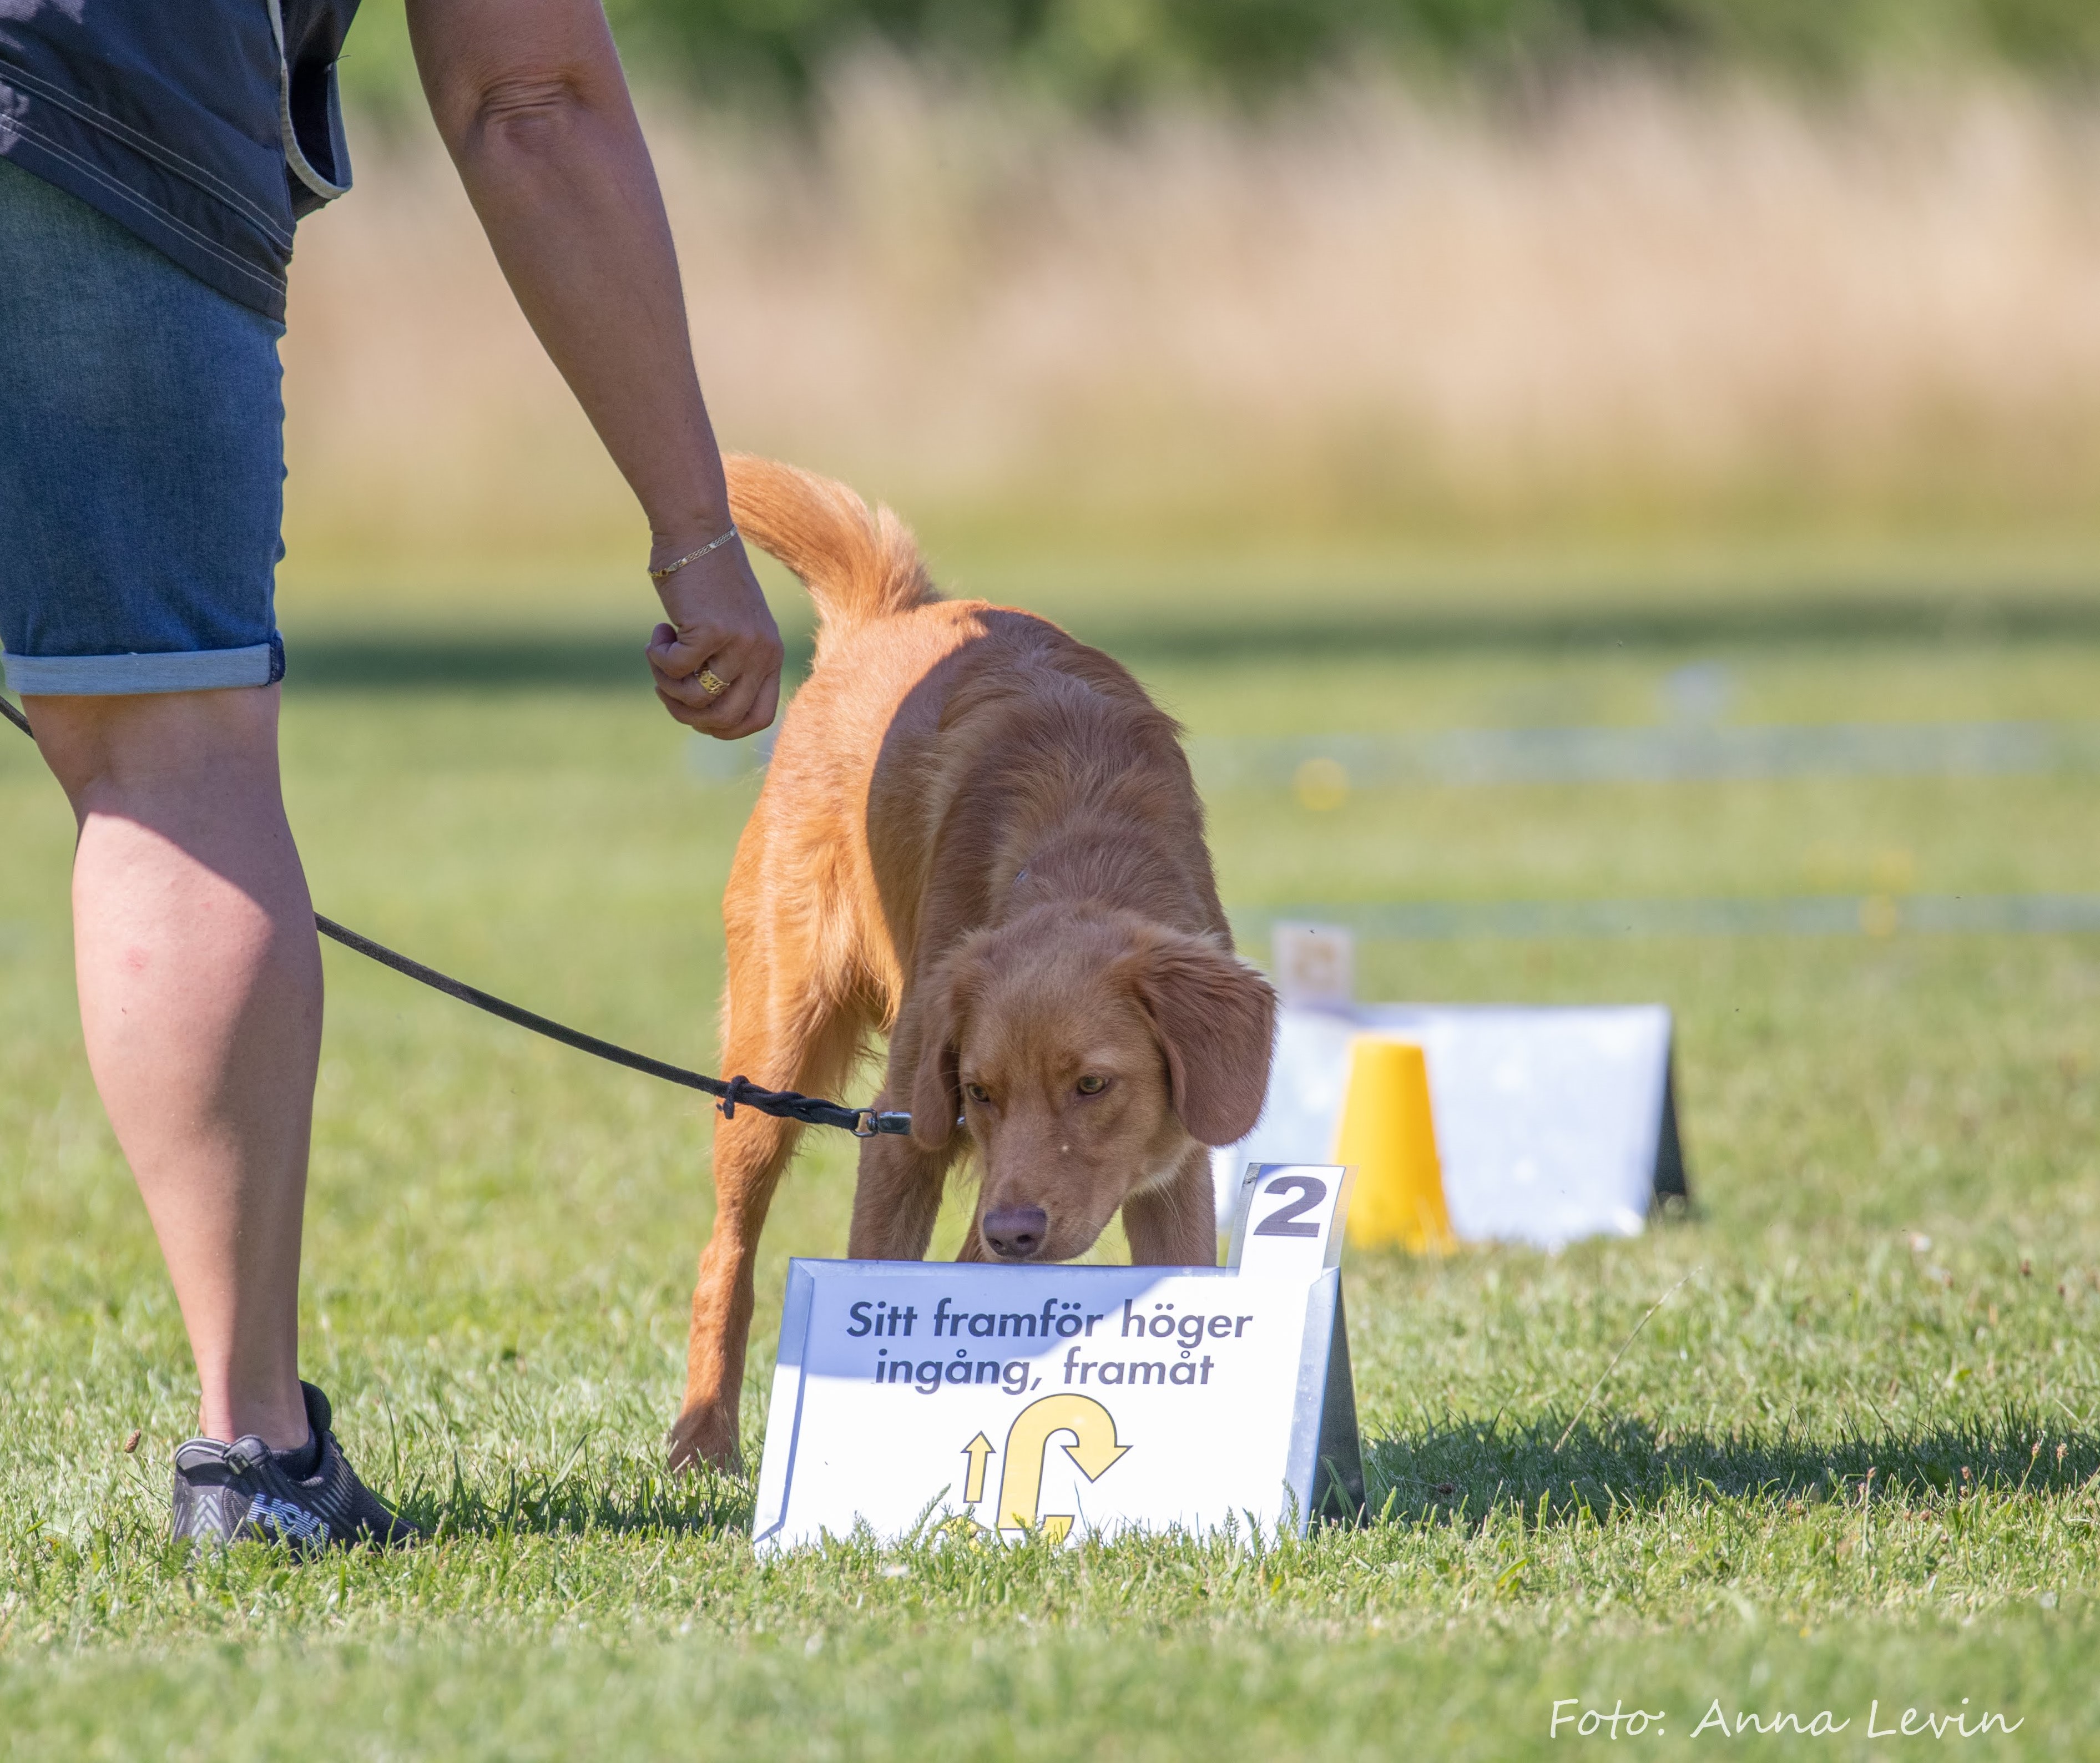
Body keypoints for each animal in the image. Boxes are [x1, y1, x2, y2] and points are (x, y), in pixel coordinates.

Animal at [663, 457, 1268, 1477]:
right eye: (980, 1091)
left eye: (1093, 1085)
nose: (1013, 1231)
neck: (1081, 839)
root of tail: (889, 614)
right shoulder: (907, 1127)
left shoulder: (1173, 1168)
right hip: (773, 1063)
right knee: (725, 1254)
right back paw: (703, 1436)